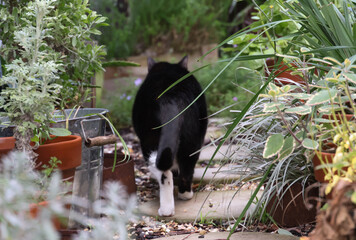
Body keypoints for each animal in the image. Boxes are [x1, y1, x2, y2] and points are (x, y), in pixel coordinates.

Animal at [132, 56, 207, 218]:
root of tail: (170, 96)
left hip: (149, 142)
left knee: (164, 172)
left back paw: (167, 208)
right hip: (192, 140)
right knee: (186, 167)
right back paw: (183, 196)